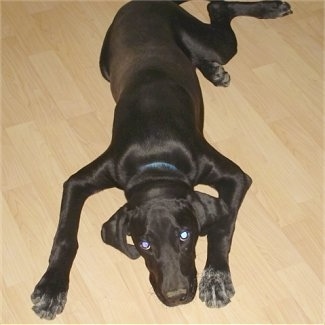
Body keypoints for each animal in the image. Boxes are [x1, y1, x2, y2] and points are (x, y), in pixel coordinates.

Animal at [31, 0, 292, 318]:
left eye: (185, 235)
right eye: (144, 244)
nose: (176, 296)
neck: (154, 161)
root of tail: (144, 2)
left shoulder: (233, 175)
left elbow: (221, 225)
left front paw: (216, 277)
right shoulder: (79, 182)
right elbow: (65, 235)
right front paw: (51, 288)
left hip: (212, 42)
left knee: (218, 8)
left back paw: (270, 9)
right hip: (105, 65)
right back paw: (213, 71)